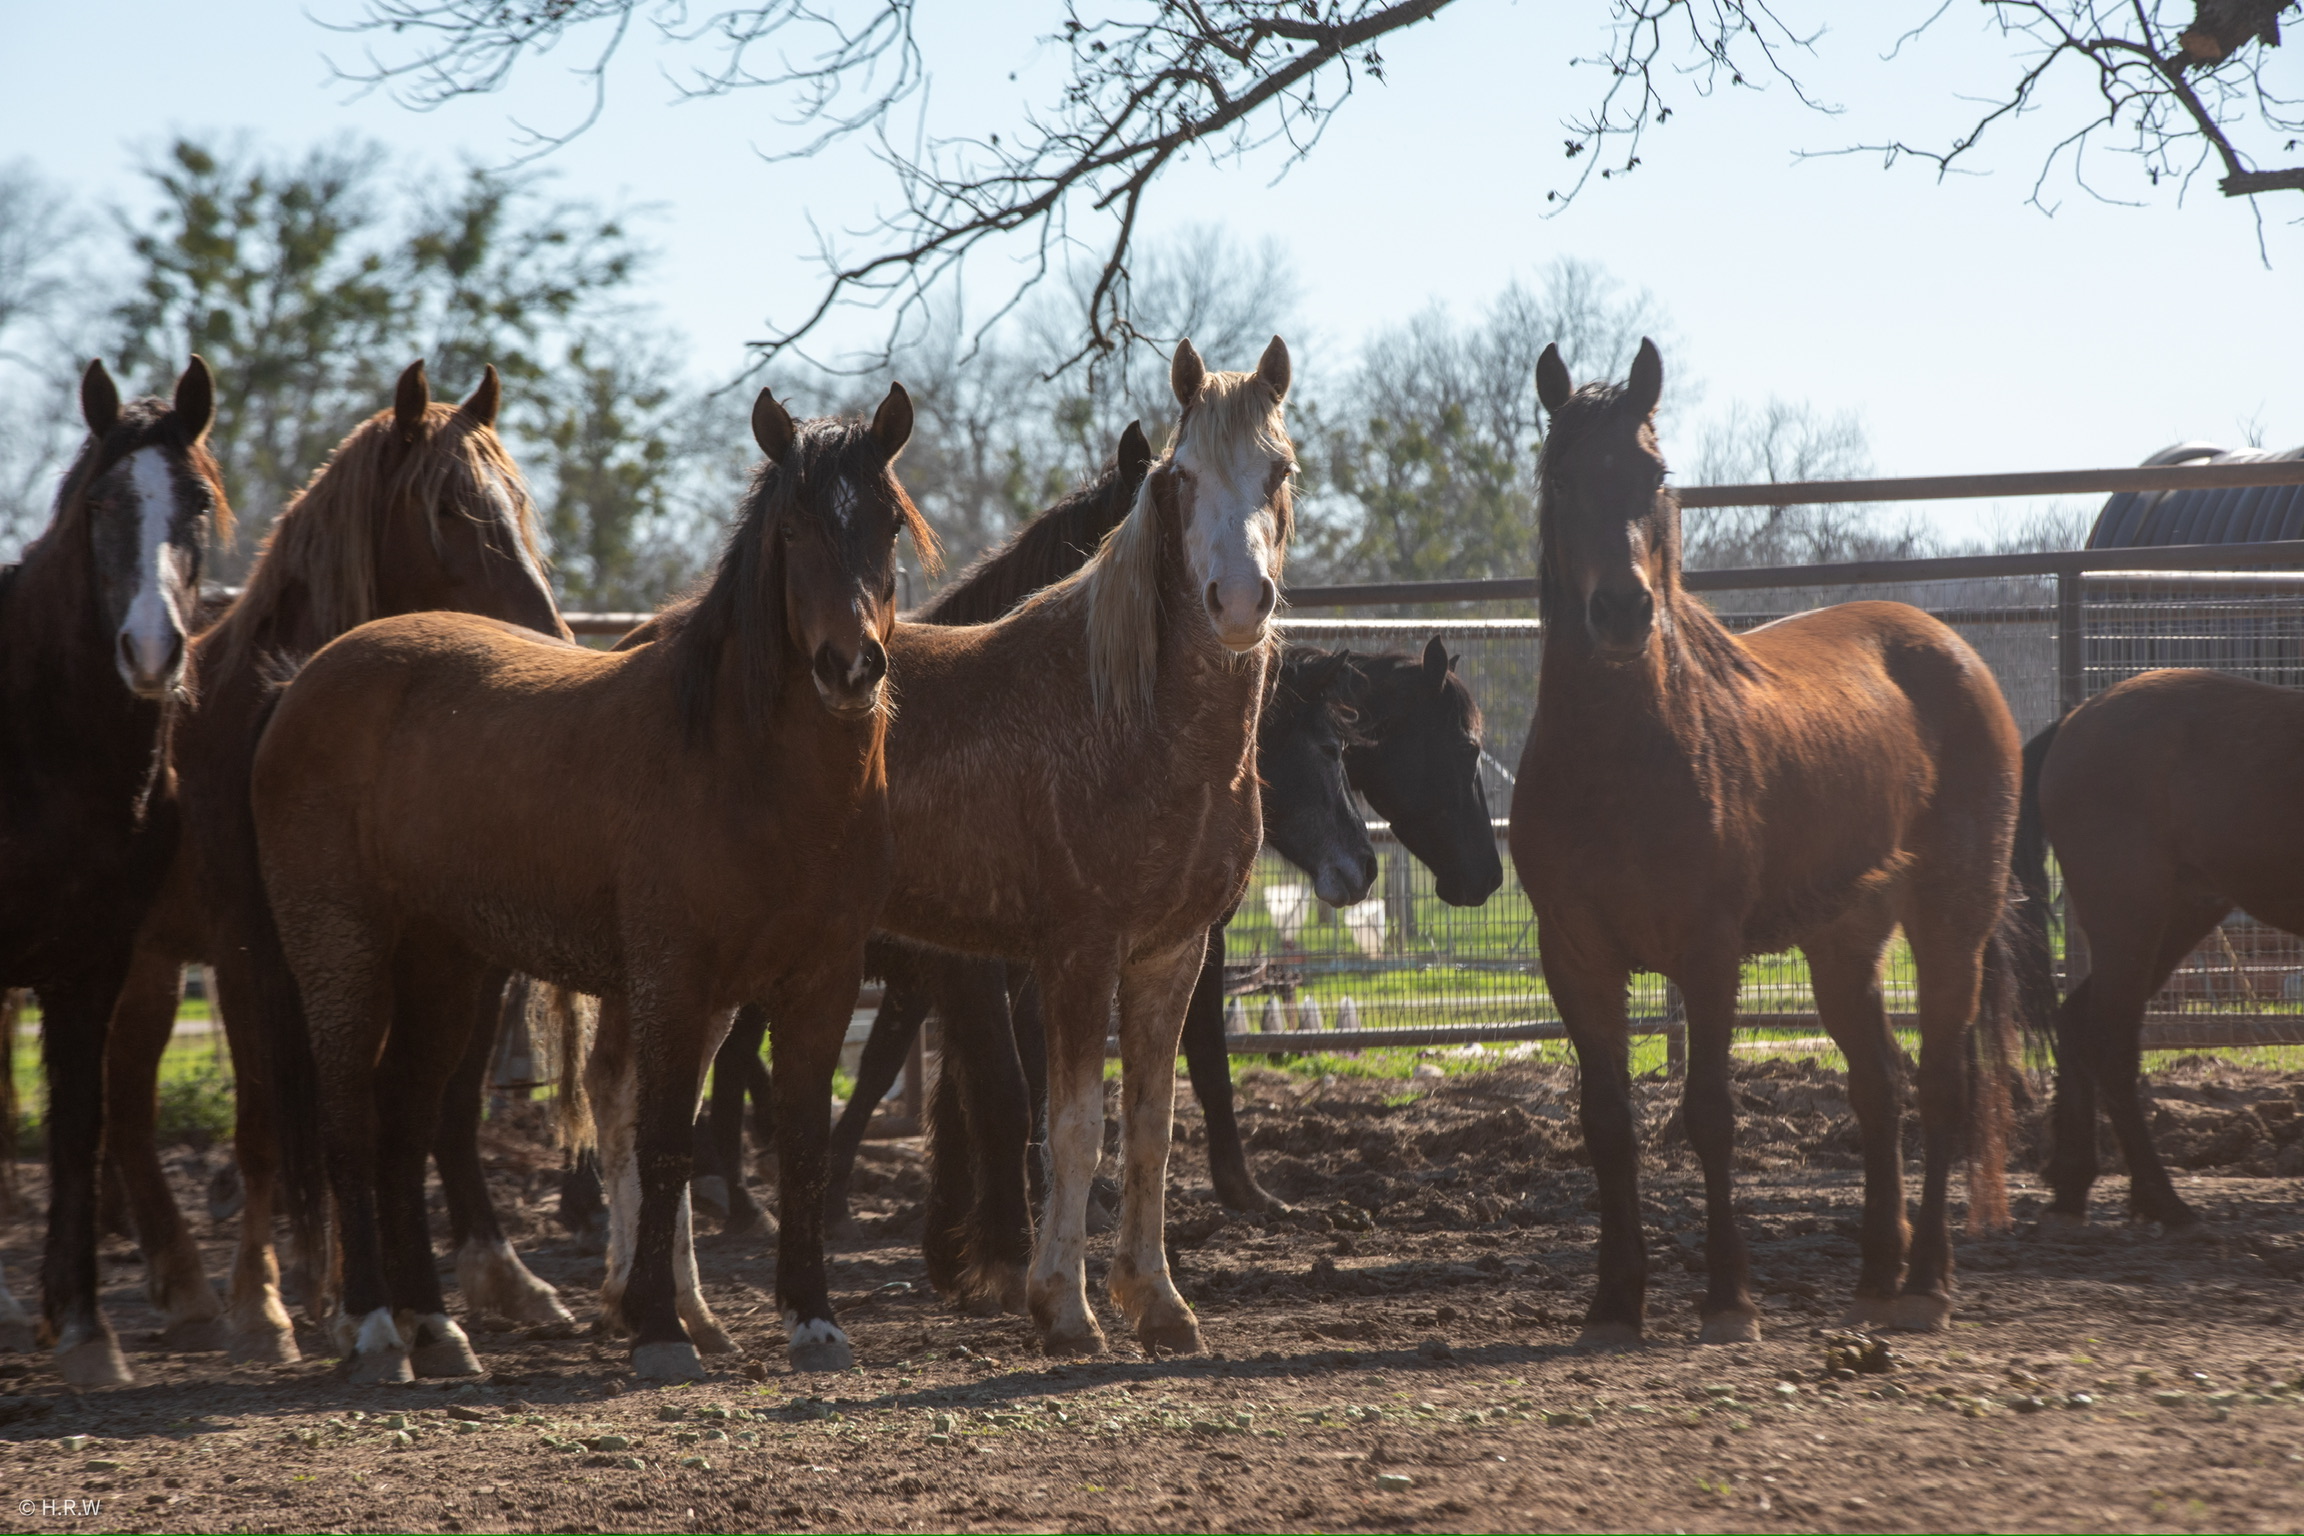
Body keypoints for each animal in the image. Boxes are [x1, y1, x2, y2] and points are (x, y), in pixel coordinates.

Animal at [102, 361, 571, 1365]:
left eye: (516, 505)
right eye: (446, 510)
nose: (551, 641)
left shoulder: (453, 953)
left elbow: (442, 1108)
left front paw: (495, 1276)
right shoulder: (253, 958)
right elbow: (269, 1125)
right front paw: (271, 1304)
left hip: (150, 963)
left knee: (124, 1106)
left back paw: (178, 1282)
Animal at [255, 383, 931, 1381]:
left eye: (886, 524)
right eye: (793, 529)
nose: (850, 667)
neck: (743, 769)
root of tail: (307, 678)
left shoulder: (819, 982)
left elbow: (802, 1148)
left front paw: (814, 1322)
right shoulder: (674, 980)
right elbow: (664, 1145)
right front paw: (659, 1328)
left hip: (445, 967)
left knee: (404, 1124)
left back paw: (439, 1329)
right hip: (343, 950)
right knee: (351, 1120)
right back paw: (377, 1328)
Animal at [1511, 339, 2023, 1345]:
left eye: (1653, 475)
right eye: (1560, 476)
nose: (1622, 612)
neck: (1620, 760)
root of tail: (1951, 649)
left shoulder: (1709, 952)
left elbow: (1709, 1113)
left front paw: (1728, 1300)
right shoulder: (1575, 955)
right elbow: (1607, 1122)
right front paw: (1613, 1303)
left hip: (1952, 920)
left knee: (1941, 1086)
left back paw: (1926, 1285)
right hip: (1844, 940)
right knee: (1879, 1088)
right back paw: (1876, 1275)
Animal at [2015, 668, 2304, 1232]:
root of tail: (2075, 720)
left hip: (2179, 915)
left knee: (2078, 1020)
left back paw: (2073, 1183)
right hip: (2131, 915)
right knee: (2109, 1043)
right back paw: (2162, 1200)